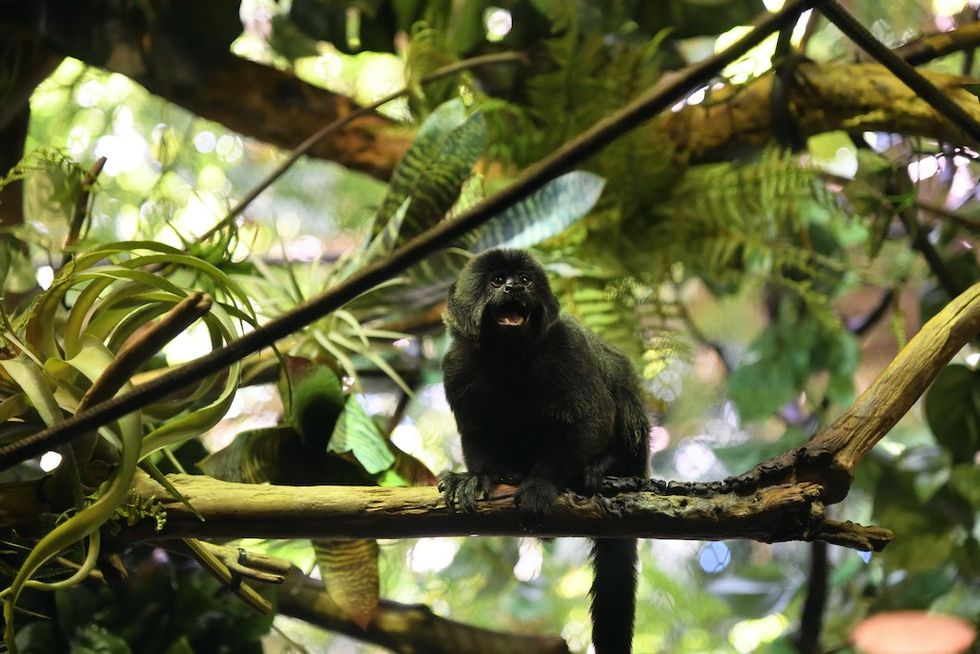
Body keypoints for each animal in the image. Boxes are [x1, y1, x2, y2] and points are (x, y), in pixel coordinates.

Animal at [439, 248, 650, 654]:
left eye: (524, 280)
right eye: (497, 280)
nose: (512, 286)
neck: (508, 357)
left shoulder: (567, 346)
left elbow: (593, 415)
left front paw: (542, 485)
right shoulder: (455, 365)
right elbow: (474, 432)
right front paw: (477, 477)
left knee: (620, 387)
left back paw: (607, 467)